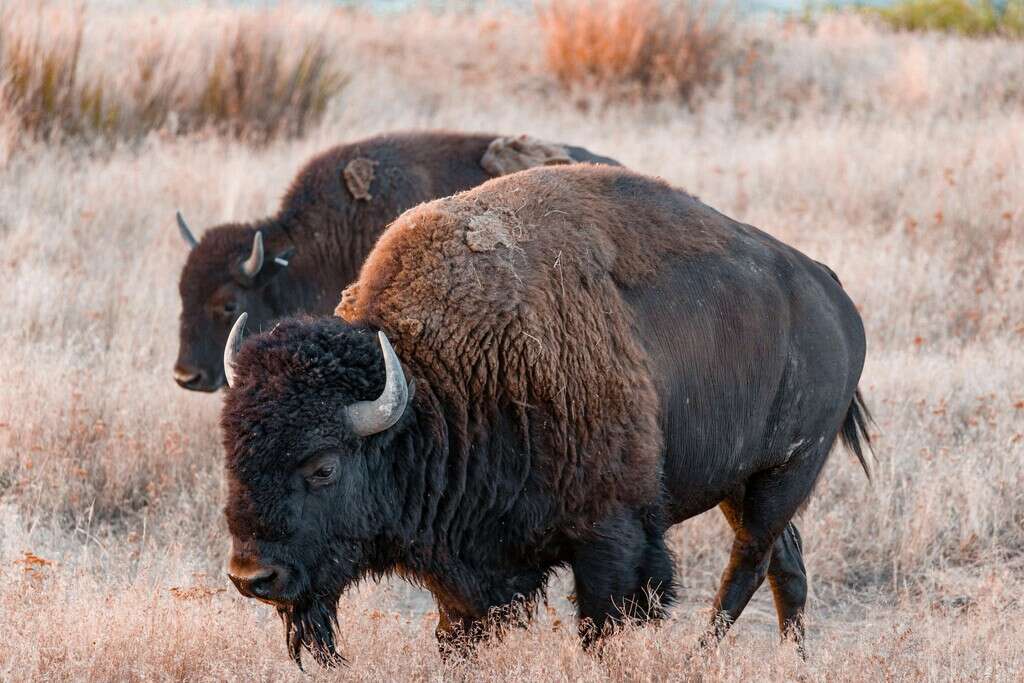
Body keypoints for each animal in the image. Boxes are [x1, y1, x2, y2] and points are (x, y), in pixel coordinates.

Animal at [220, 163, 868, 667]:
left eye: (323, 467)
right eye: (232, 454)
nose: (252, 577)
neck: (440, 380)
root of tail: (832, 292)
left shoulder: (613, 537)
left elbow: (604, 626)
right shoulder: (467, 570)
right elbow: (456, 632)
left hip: (785, 472)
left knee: (749, 563)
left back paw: (700, 656)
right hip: (742, 481)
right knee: (786, 562)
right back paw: (794, 660)